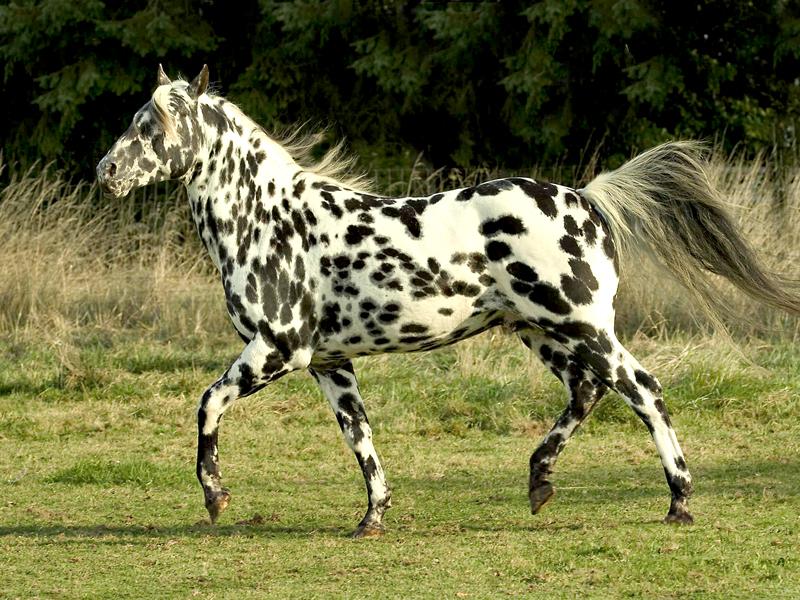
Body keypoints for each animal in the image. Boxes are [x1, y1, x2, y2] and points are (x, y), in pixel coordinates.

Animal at [98, 67, 800, 540]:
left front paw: (215, 497)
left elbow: (207, 404)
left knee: (643, 390)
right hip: (540, 331)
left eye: (152, 125)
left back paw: (678, 501)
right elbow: (359, 437)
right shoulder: (328, 363)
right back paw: (539, 482)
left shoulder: (278, 349)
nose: (106, 171)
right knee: (588, 393)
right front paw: (372, 517)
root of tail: (585, 198)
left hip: (583, 328)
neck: (269, 220)